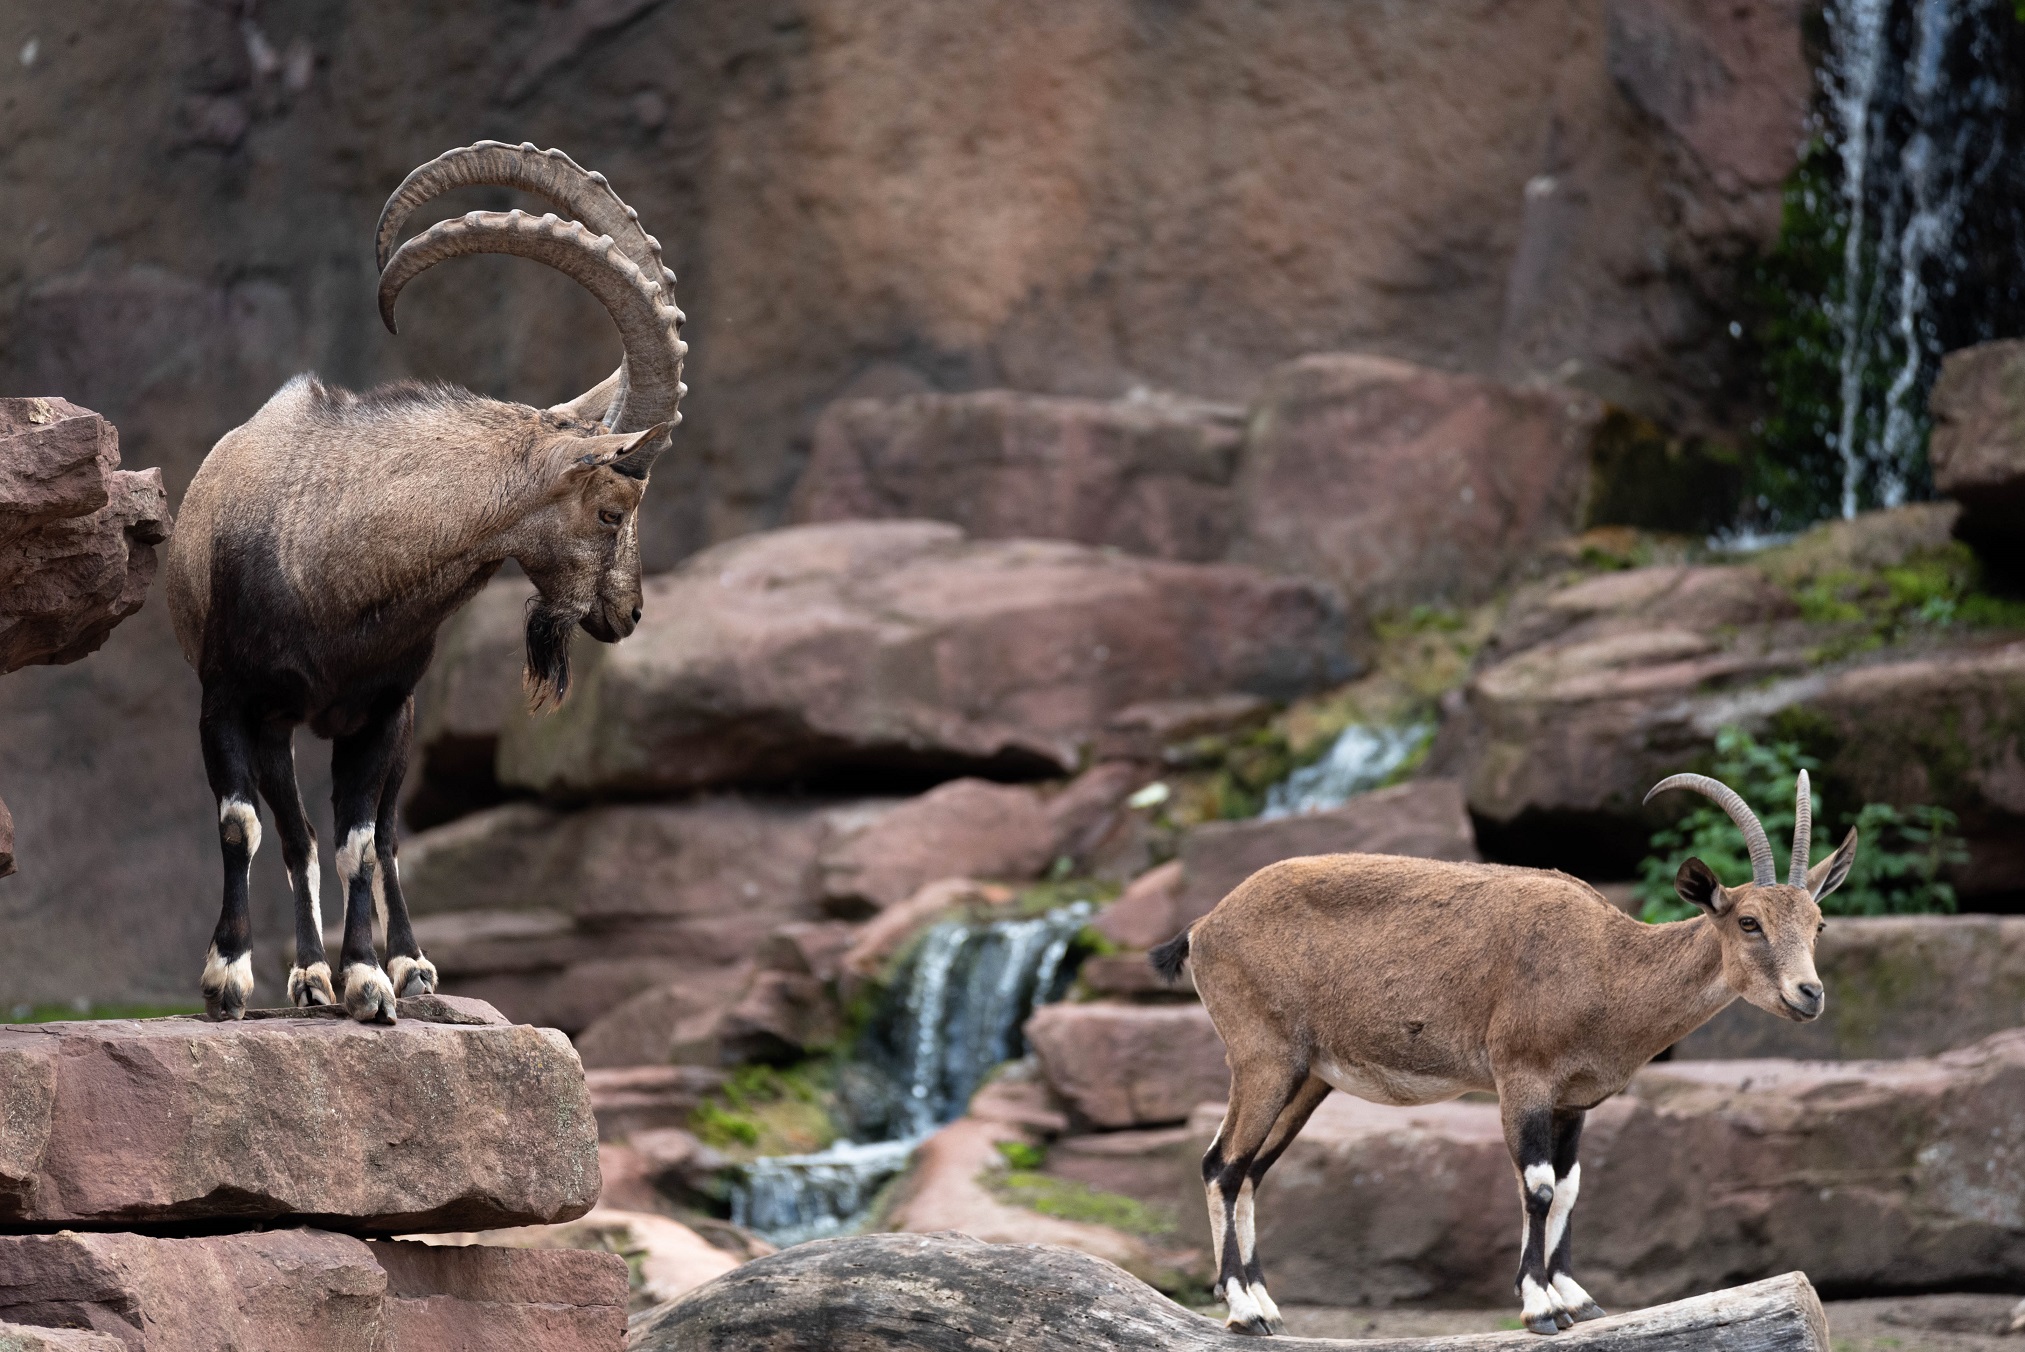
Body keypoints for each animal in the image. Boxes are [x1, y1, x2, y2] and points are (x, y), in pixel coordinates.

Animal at [165, 142, 685, 1023]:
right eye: (614, 509)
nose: (629, 613)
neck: (332, 569)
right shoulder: (229, 700)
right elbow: (246, 827)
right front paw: (229, 976)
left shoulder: (383, 710)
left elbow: (363, 844)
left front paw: (371, 979)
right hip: (278, 726)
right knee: (296, 834)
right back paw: (307, 976)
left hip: (397, 726)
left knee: (380, 836)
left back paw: (406, 966)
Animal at [1149, 771, 1858, 1336]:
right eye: (1748, 922)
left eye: (1818, 924)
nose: (1810, 993)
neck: (1610, 967)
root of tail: (1204, 927)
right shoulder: (1523, 1077)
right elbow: (1537, 1185)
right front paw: (1541, 1307)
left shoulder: (1573, 1100)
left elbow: (1569, 1186)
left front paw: (1576, 1298)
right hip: (1262, 1058)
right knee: (1222, 1165)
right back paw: (1243, 1311)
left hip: (1307, 1077)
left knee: (1250, 1170)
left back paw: (1266, 1305)